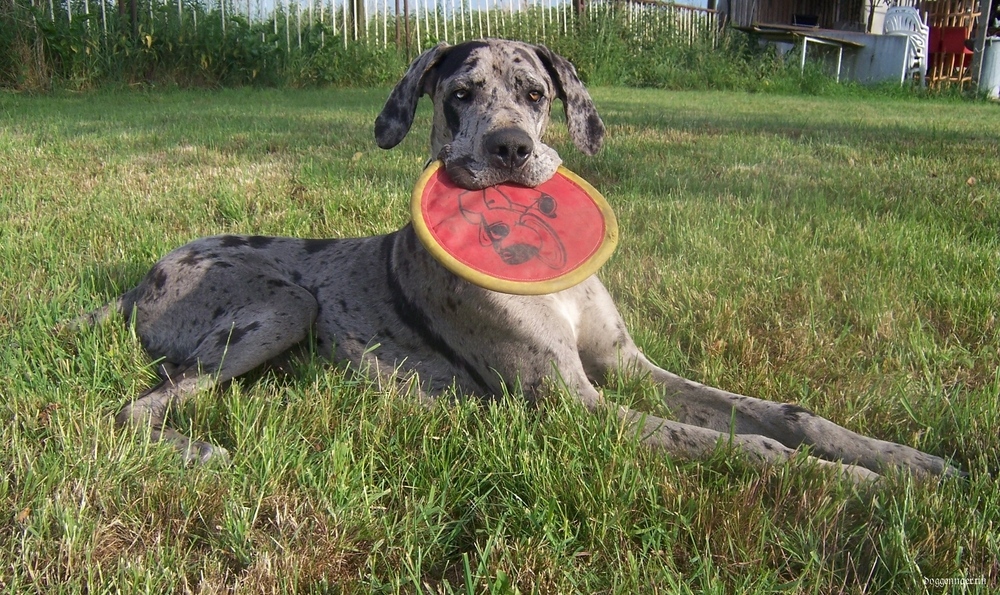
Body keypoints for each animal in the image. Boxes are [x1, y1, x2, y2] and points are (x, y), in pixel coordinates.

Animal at [76, 38, 960, 484]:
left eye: (537, 94)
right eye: (459, 93)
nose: (510, 148)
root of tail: (140, 277)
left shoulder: (629, 367)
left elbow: (783, 414)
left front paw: (911, 461)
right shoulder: (574, 405)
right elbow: (742, 444)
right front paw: (859, 486)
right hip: (284, 305)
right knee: (132, 410)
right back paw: (198, 452)